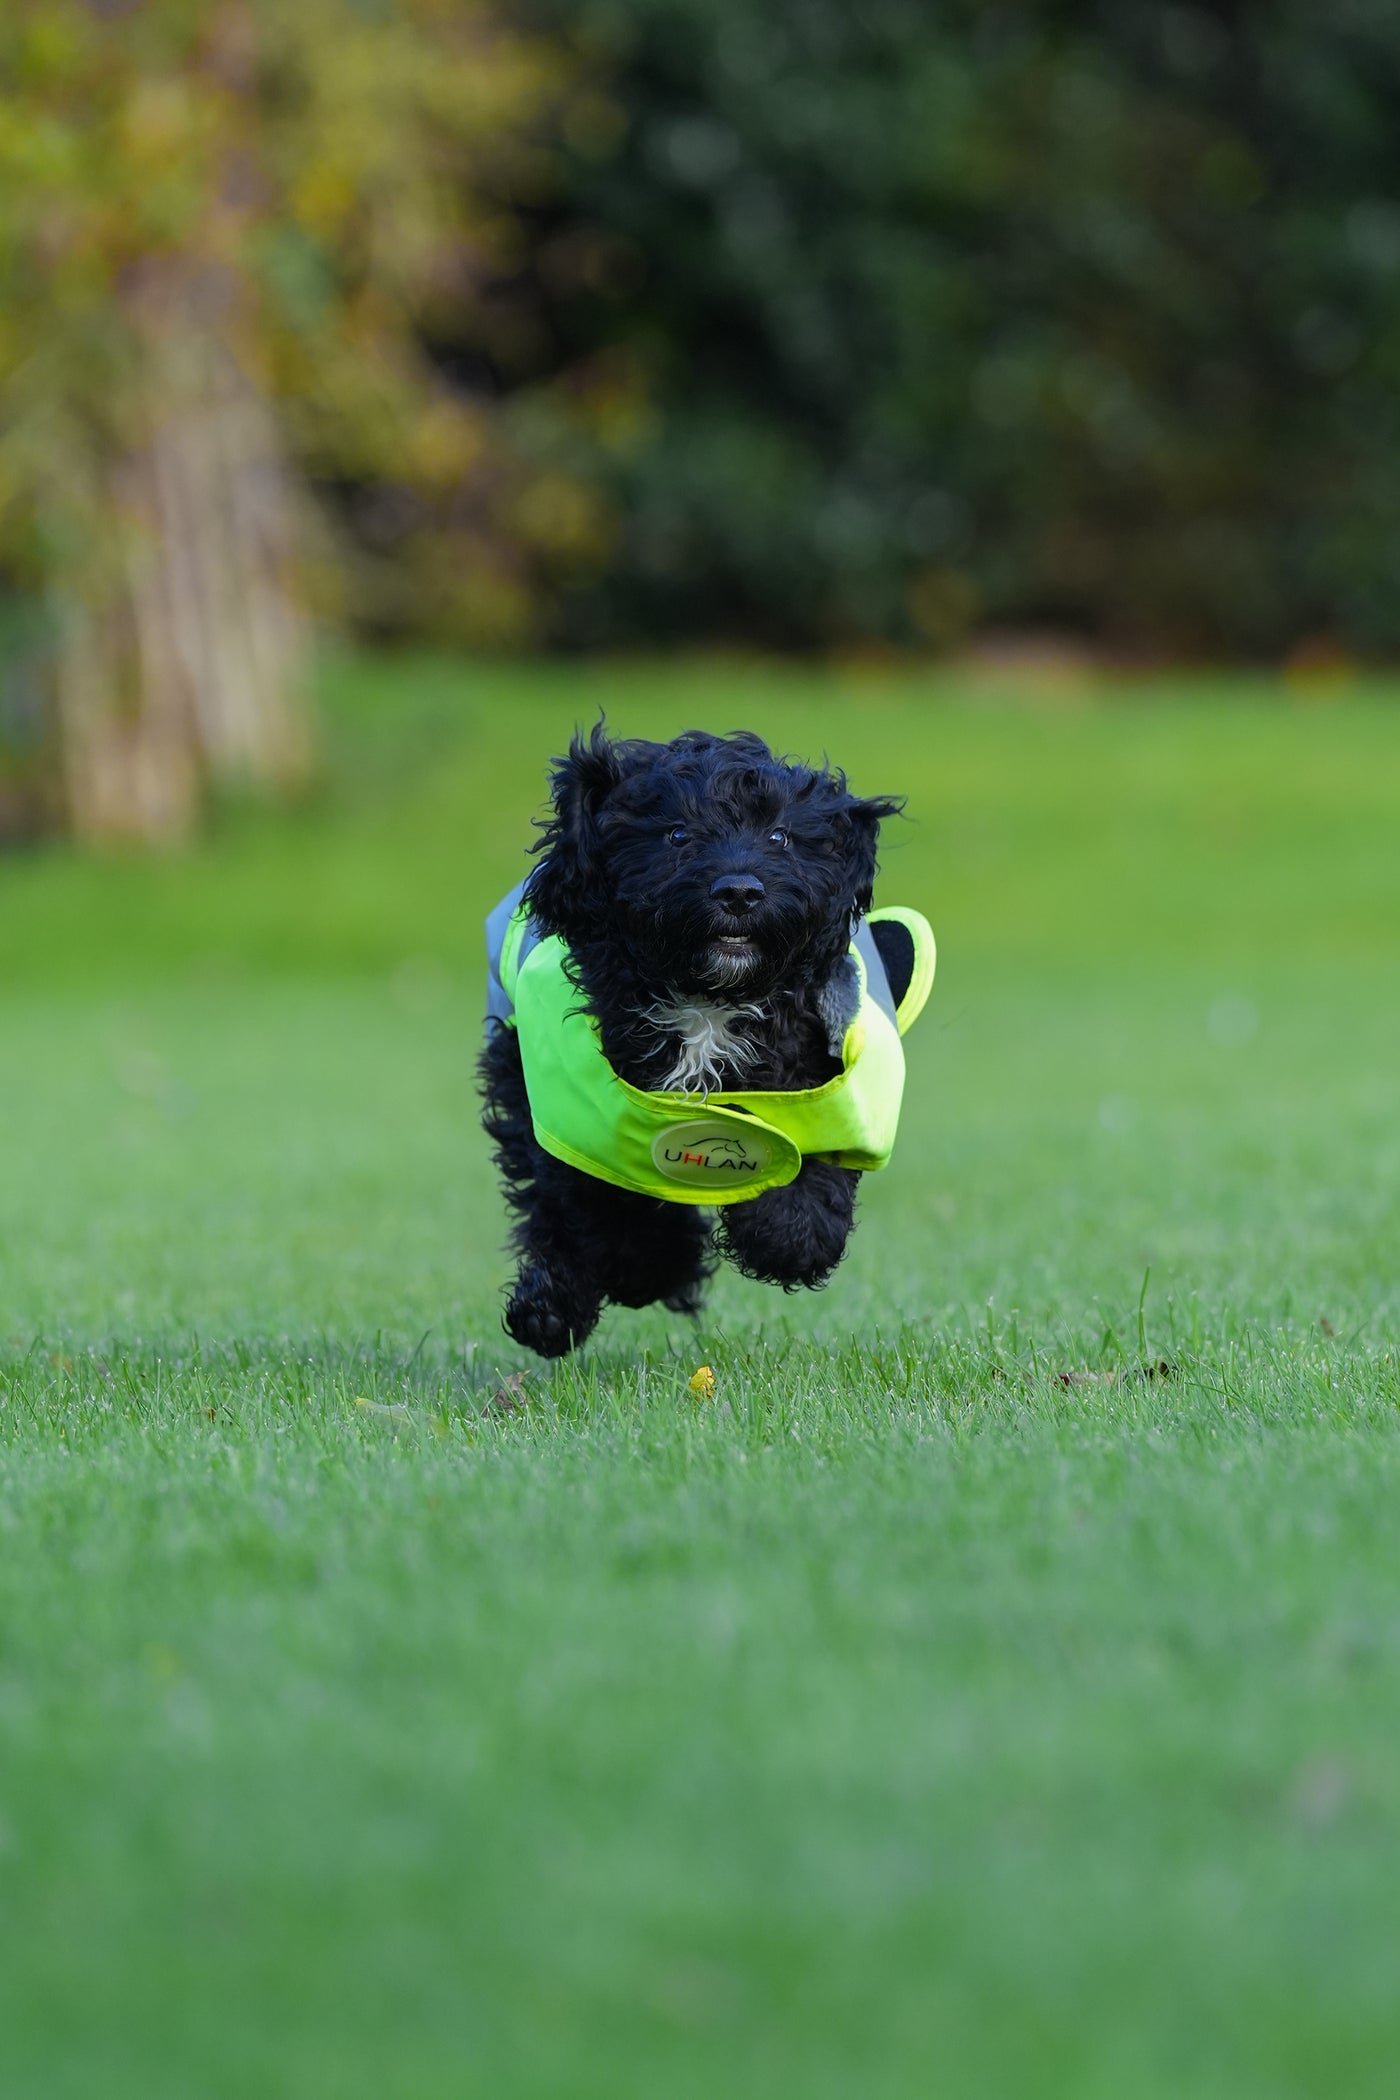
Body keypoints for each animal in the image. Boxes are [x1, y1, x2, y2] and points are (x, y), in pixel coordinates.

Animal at [482, 726, 910, 1360]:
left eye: (780, 835)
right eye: (677, 834)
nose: (739, 891)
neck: (706, 1001)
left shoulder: (825, 1082)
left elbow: (813, 1169)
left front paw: (786, 1235)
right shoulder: (565, 1103)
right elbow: (585, 1194)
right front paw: (588, 1288)